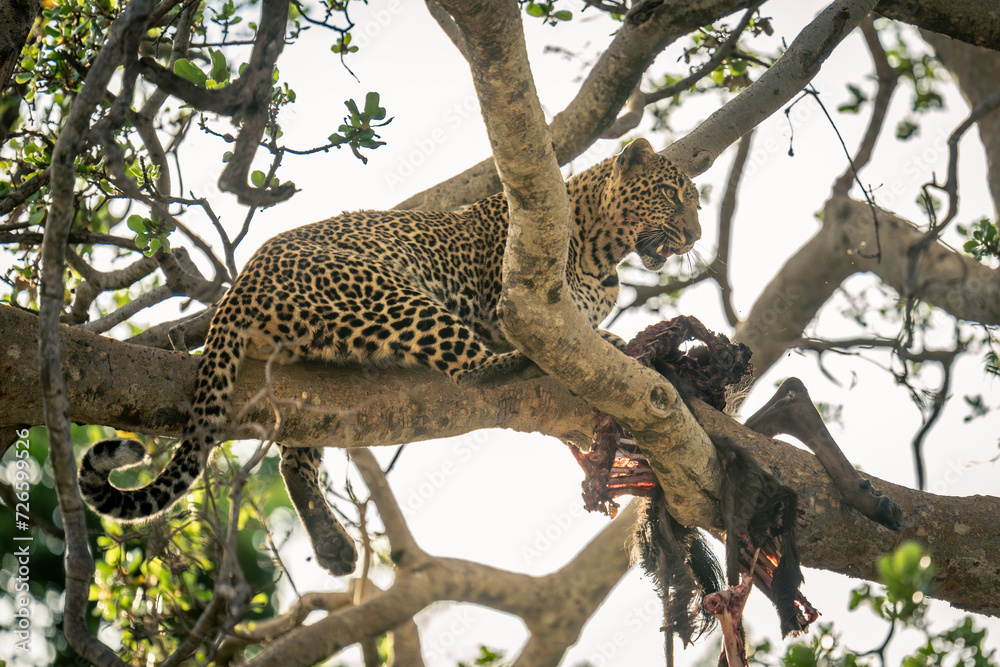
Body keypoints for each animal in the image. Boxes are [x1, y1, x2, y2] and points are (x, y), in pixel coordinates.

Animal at [78, 137, 701, 576]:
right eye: (673, 196)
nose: (695, 235)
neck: (602, 250)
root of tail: (239, 287)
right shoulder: (511, 303)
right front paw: (617, 345)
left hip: (313, 375)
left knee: (294, 459)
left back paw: (333, 547)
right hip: (387, 288)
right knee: (469, 365)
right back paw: (513, 364)